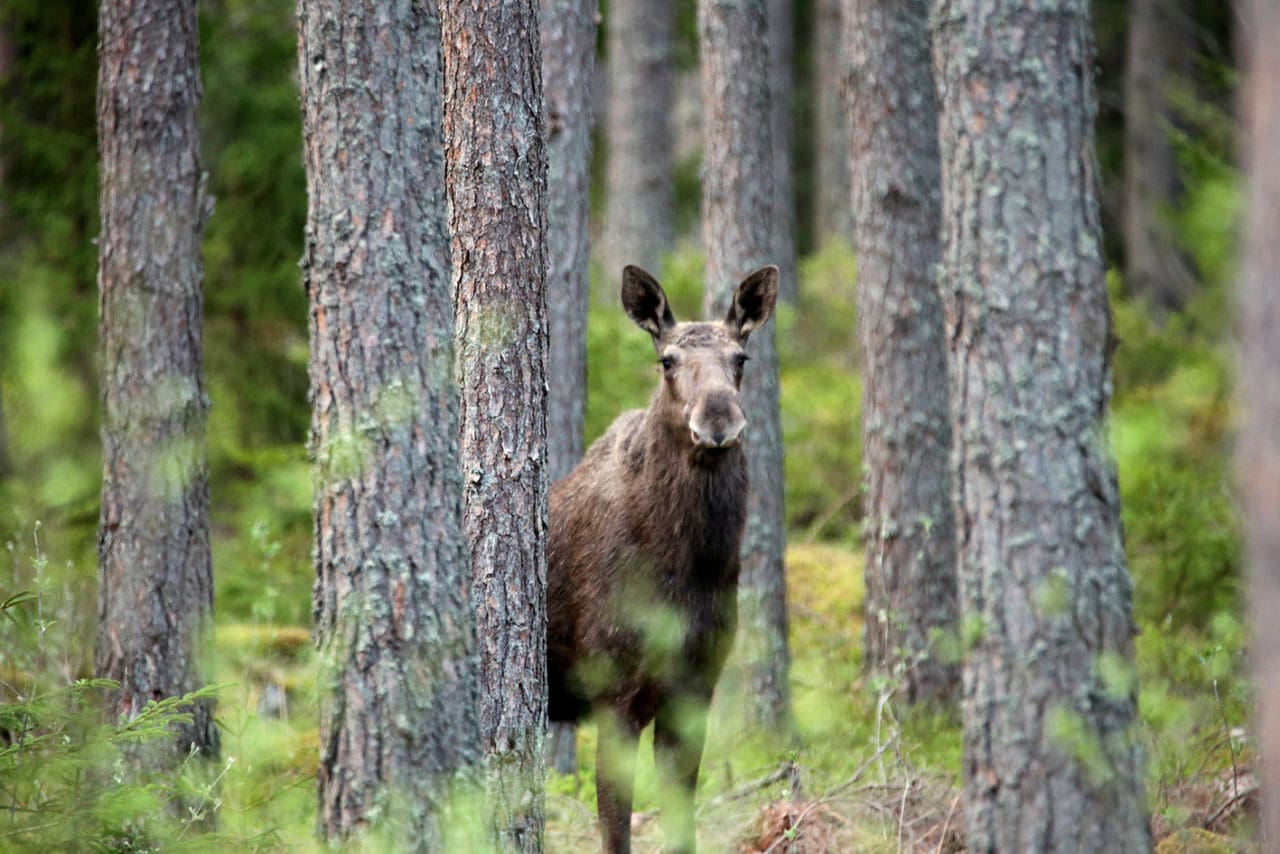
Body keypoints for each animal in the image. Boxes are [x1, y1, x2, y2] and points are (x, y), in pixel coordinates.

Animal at [545, 265, 773, 854]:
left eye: (741, 358)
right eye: (667, 360)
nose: (718, 420)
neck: (691, 565)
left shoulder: (695, 690)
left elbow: (681, 820)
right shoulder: (613, 692)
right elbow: (614, 824)